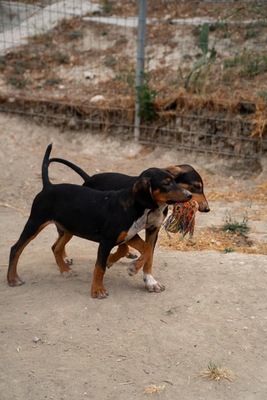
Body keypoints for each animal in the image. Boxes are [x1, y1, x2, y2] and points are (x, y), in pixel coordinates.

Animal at [7, 144, 193, 296]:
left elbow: (148, 251)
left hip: (69, 227)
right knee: (16, 248)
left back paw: (65, 270)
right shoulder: (106, 241)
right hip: (35, 223)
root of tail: (48, 186)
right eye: (166, 183)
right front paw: (97, 290)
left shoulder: (131, 235)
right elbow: (100, 267)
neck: (135, 206)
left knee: (56, 247)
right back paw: (13, 279)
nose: (189, 195)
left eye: (176, 181)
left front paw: (134, 268)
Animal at [48, 155, 211, 290]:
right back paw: (64, 258)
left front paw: (150, 280)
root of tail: (89, 178)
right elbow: (138, 251)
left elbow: (148, 254)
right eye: (197, 186)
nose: (207, 209)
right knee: (60, 237)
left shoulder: (153, 229)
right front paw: (121, 264)